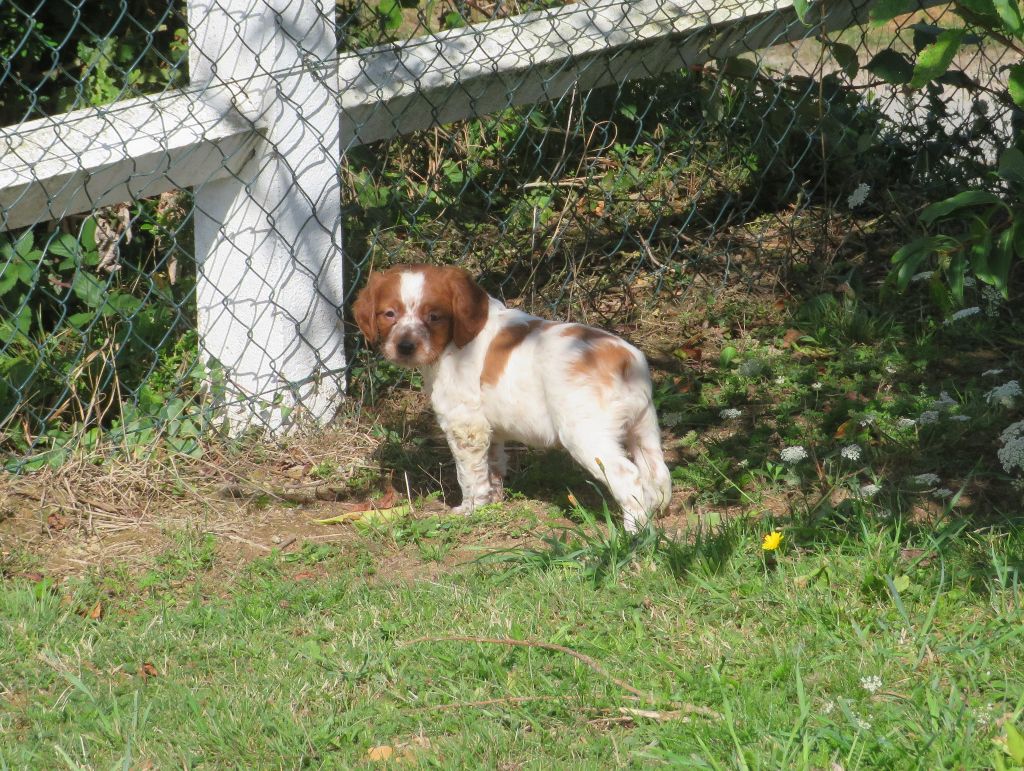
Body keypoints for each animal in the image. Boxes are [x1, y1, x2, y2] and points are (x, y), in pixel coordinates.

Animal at [352, 264, 671, 528]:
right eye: (389, 314)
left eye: (434, 316)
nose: (405, 346)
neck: (454, 343)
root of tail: (624, 358)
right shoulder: (489, 431)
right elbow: (491, 467)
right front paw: (492, 502)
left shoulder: (465, 425)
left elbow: (469, 475)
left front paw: (468, 509)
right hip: (644, 429)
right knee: (657, 473)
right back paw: (655, 515)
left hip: (587, 436)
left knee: (629, 477)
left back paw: (634, 533)